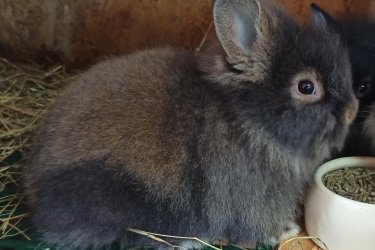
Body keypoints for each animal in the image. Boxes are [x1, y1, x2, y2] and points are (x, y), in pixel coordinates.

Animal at [22, 0, 358, 249]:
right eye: (306, 87)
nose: (352, 110)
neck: (251, 122)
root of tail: (33, 189)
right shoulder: (252, 201)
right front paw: (286, 231)